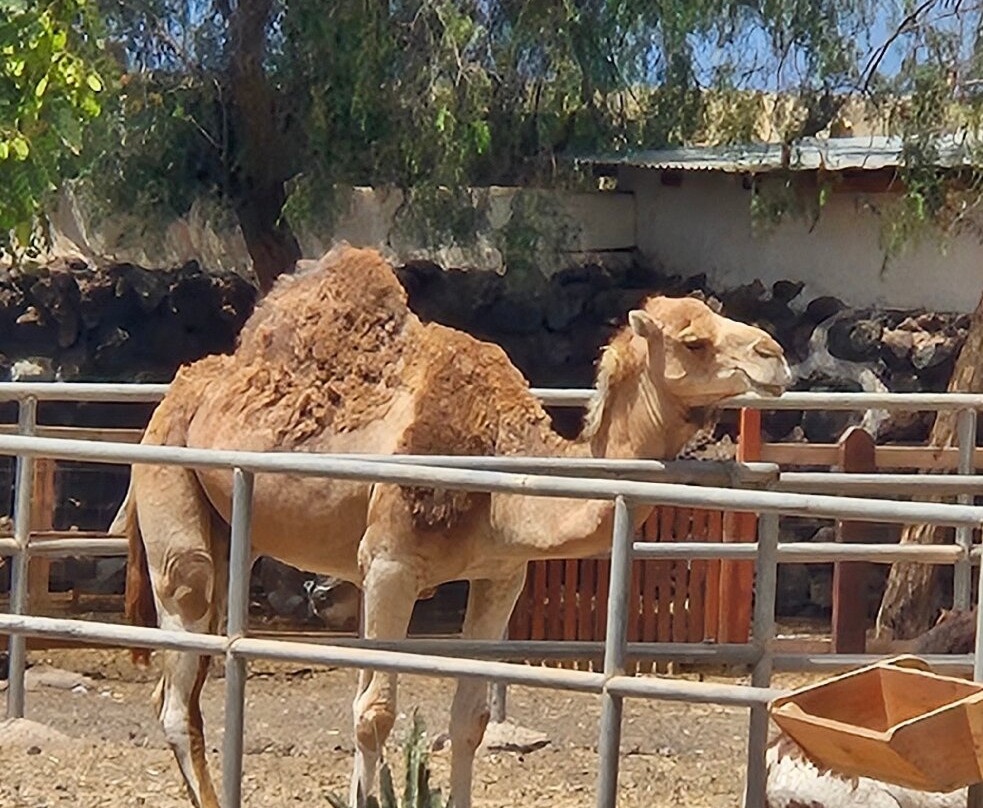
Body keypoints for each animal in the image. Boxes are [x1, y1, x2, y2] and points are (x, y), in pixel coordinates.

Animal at [121, 244, 791, 808]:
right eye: (693, 341)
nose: (775, 355)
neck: (501, 473)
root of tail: (182, 388)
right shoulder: (389, 565)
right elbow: (374, 714)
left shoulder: (500, 575)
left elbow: (469, 719)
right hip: (172, 498)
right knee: (179, 669)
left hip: (235, 532)